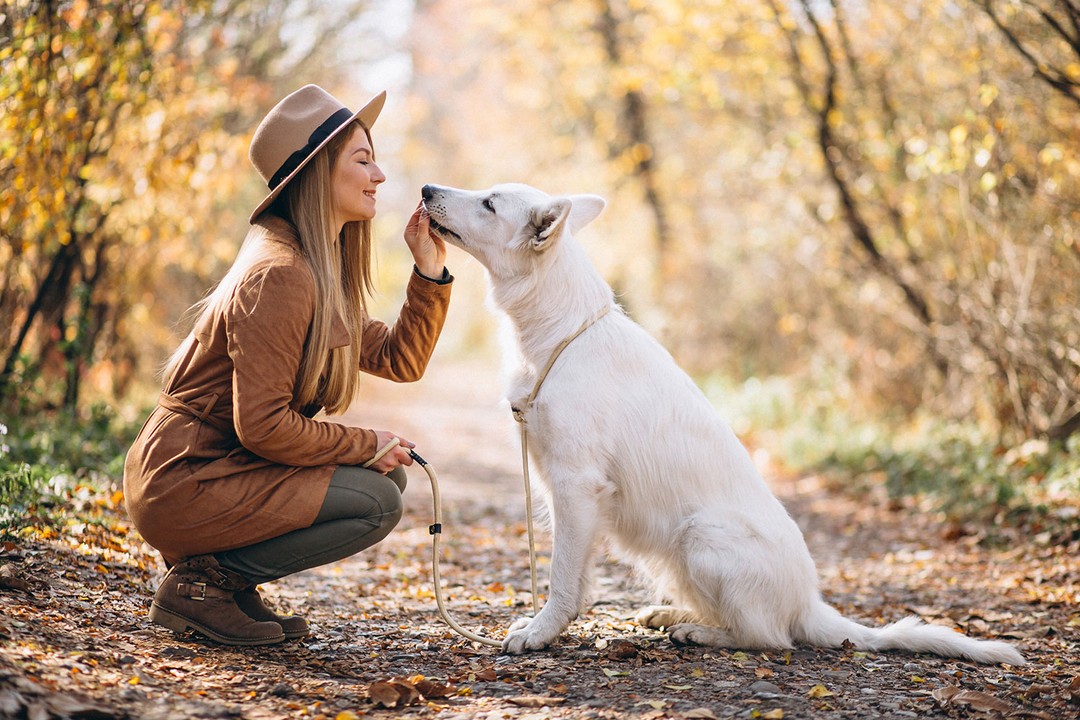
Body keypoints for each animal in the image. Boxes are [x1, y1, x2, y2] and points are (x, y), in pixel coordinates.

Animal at [416, 181, 1023, 664]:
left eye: (490, 203)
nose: (425, 190)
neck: (561, 330)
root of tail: (811, 605)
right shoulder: (567, 492)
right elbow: (579, 579)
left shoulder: (575, 486)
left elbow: (562, 578)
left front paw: (541, 633)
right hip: (674, 556)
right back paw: (674, 617)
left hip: (701, 536)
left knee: (769, 637)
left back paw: (700, 634)